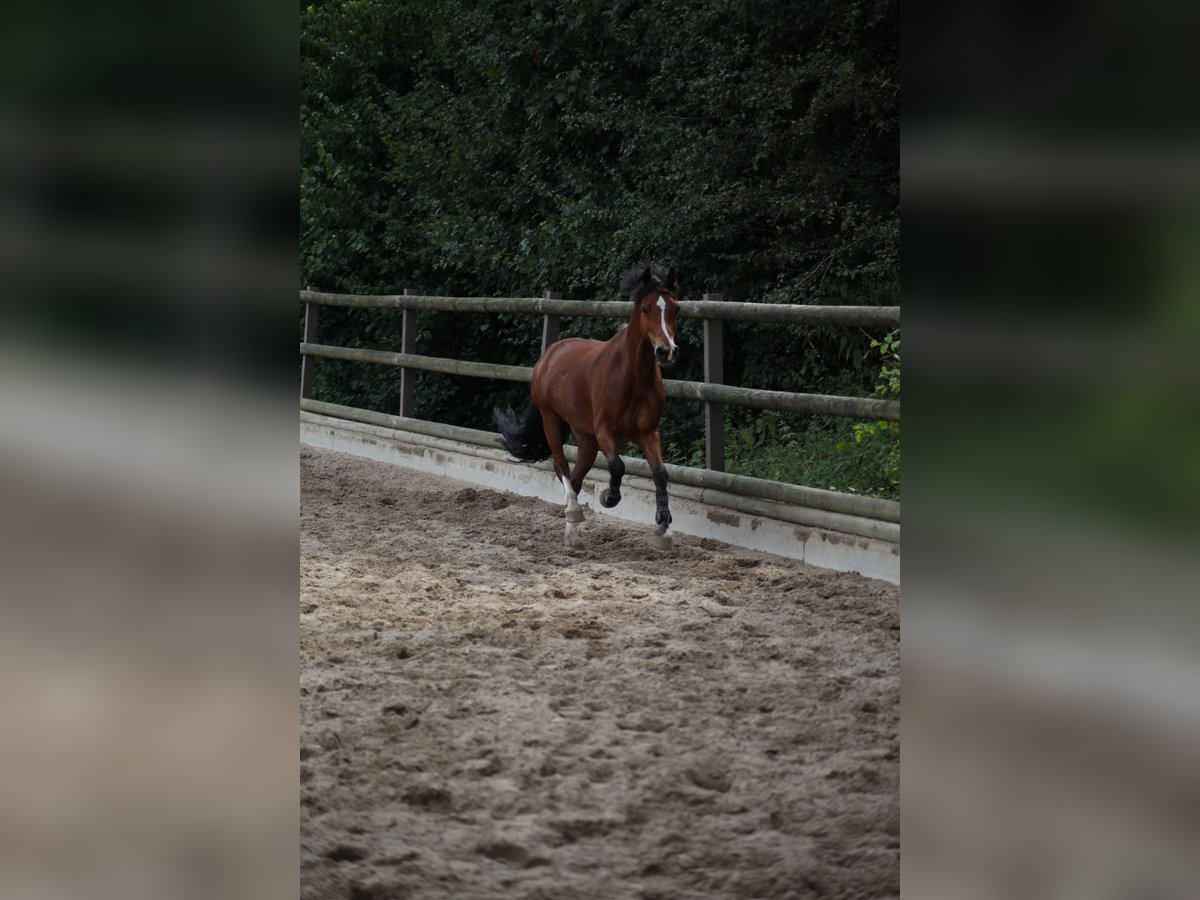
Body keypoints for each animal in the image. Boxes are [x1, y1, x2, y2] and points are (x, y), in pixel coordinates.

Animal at [494, 266, 681, 549]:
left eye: (675, 308)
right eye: (646, 308)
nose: (665, 352)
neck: (633, 377)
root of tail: (549, 356)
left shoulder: (648, 433)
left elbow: (660, 474)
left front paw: (664, 528)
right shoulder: (605, 431)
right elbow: (617, 466)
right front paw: (608, 497)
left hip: (586, 439)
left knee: (576, 478)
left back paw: (571, 534)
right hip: (551, 420)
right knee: (561, 466)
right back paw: (573, 512)